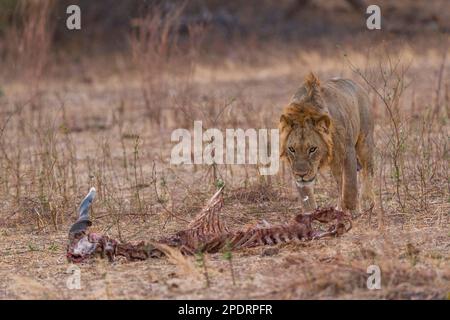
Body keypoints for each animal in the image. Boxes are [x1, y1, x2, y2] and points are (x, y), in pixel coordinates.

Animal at [280, 72, 374, 215]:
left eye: (312, 149)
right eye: (292, 149)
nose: (301, 175)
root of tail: (358, 85)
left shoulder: (348, 151)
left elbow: (350, 184)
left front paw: (353, 210)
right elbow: (305, 193)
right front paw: (309, 212)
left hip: (364, 142)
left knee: (368, 170)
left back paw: (366, 200)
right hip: (336, 164)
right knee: (340, 182)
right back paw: (340, 207)